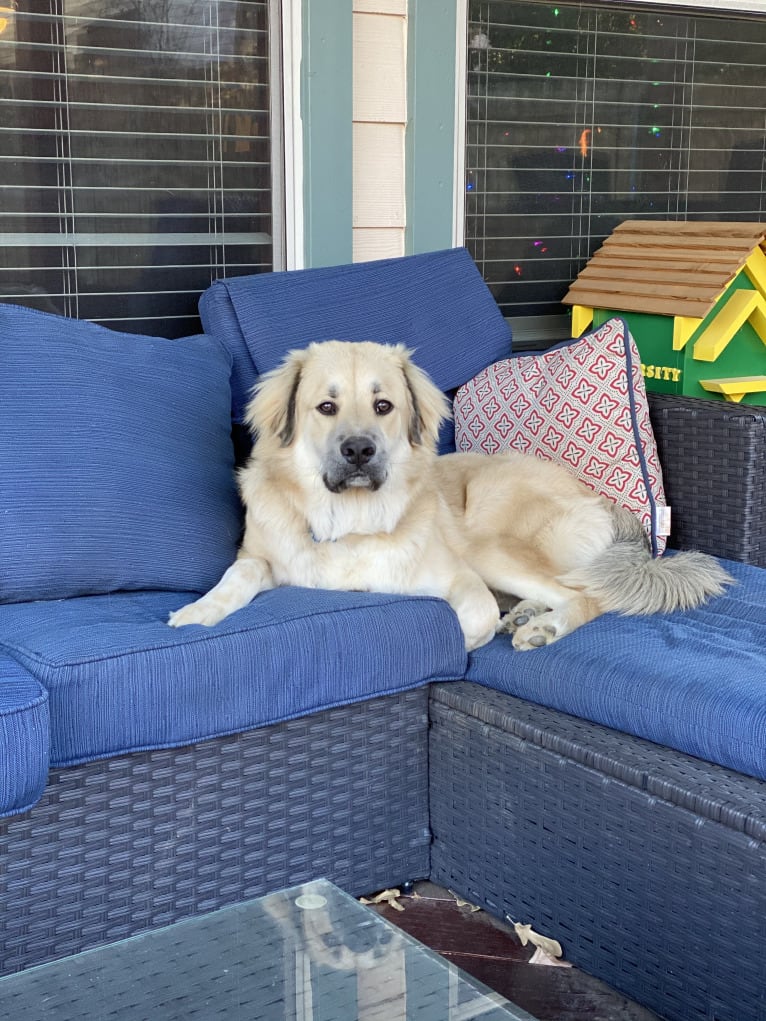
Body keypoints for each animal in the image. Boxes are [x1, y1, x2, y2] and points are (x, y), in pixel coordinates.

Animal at [170, 338, 735, 649]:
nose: (359, 451)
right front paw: (199, 611)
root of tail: (603, 503)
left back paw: (542, 627)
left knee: (587, 597)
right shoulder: (261, 557)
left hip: (489, 543)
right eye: (325, 408)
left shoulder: (459, 577)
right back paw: (527, 614)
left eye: (383, 406)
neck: (347, 518)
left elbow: (472, 618)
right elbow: (239, 576)